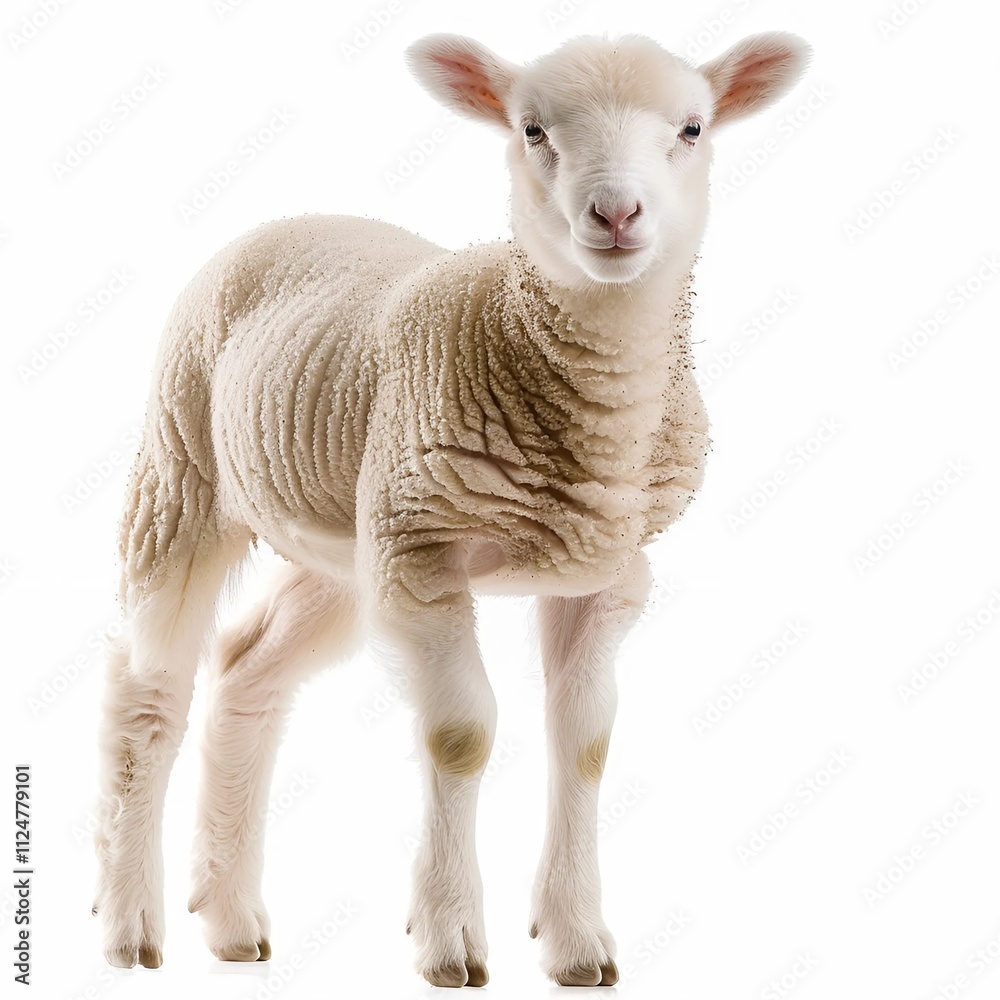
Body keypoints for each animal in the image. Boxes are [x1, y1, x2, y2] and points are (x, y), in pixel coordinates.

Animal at [92, 30, 809, 987]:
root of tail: (298, 217)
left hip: (350, 542)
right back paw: (132, 925)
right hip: (187, 469)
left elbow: (585, 742)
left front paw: (577, 941)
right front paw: (450, 937)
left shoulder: (604, 571)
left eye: (692, 128)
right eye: (532, 129)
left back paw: (234, 922)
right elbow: (462, 735)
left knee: (247, 668)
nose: (617, 215)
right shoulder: (426, 560)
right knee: (149, 692)